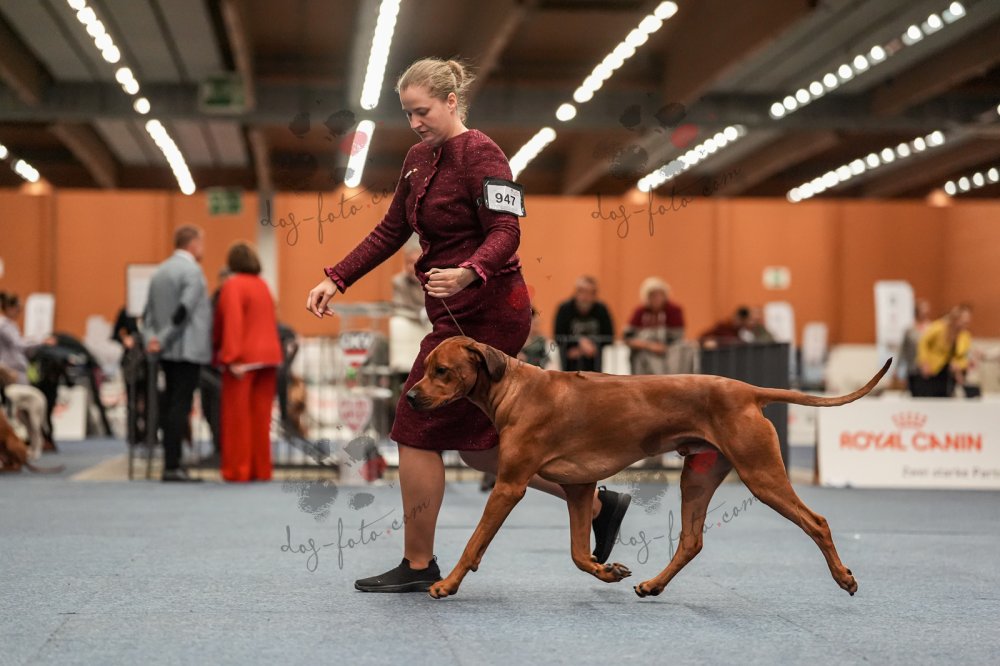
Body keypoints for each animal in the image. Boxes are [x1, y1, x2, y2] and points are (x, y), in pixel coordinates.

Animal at [406, 336, 890, 599]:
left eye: (442, 370)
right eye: (427, 368)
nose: (409, 397)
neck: (515, 388)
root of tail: (747, 390)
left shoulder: (509, 484)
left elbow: (474, 543)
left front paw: (446, 585)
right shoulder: (580, 487)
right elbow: (578, 553)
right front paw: (607, 570)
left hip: (762, 475)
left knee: (817, 521)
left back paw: (844, 577)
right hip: (698, 476)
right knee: (692, 541)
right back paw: (653, 585)